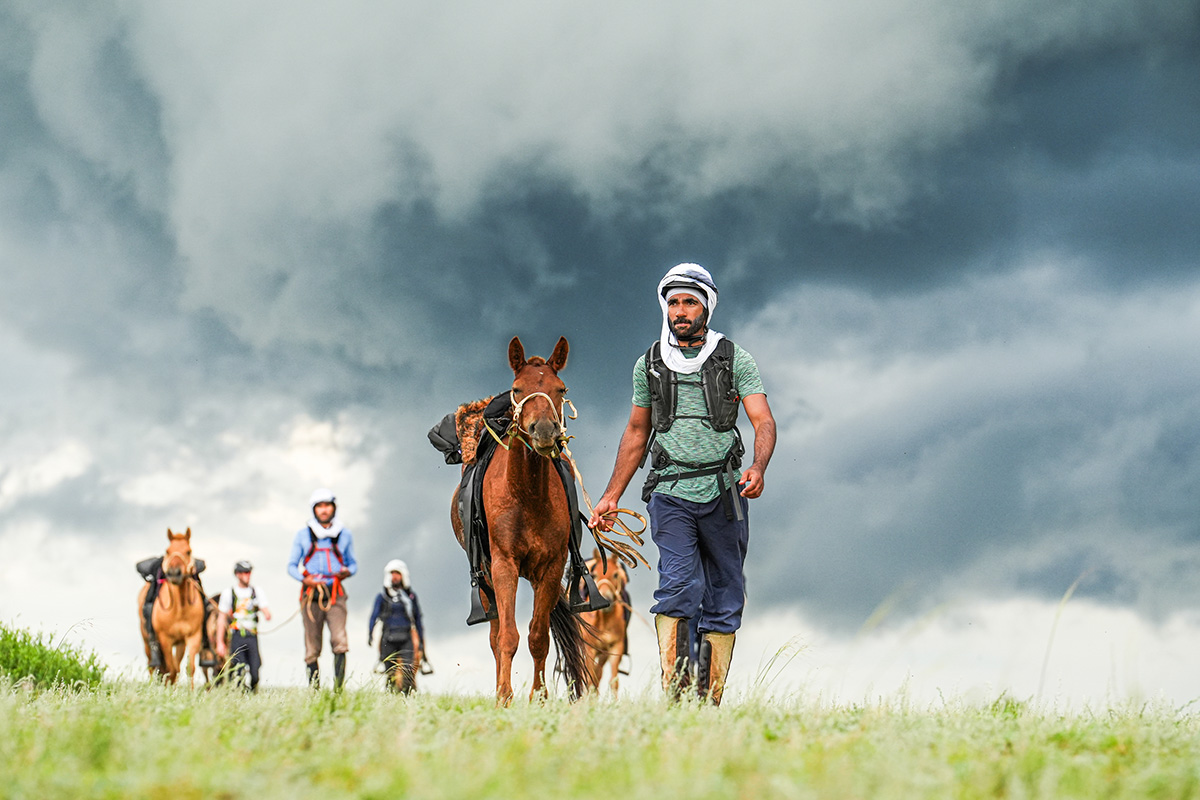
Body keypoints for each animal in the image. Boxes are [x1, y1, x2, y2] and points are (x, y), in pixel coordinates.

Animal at [138, 525, 207, 690]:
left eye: (188, 551)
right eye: (168, 551)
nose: (174, 573)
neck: (180, 609)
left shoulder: (191, 637)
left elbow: (188, 668)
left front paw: (190, 692)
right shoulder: (165, 639)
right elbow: (171, 668)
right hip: (147, 642)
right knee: (152, 666)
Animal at [451, 335, 592, 705]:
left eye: (561, 388)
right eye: (517, 389)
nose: (543, 430)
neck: (527, 495)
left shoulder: (552, 567)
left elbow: (538, 636)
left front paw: (539, 698)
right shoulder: (504, 566)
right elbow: (508, 637)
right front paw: (504, 696)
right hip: (486, 575)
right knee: (496, 634)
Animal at [578, 551, 628, 695]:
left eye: (615, 574)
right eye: (594, 574)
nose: (607, 599)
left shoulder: (614, 647)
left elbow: (613, 681)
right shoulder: (589, 649)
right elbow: (589, 677)